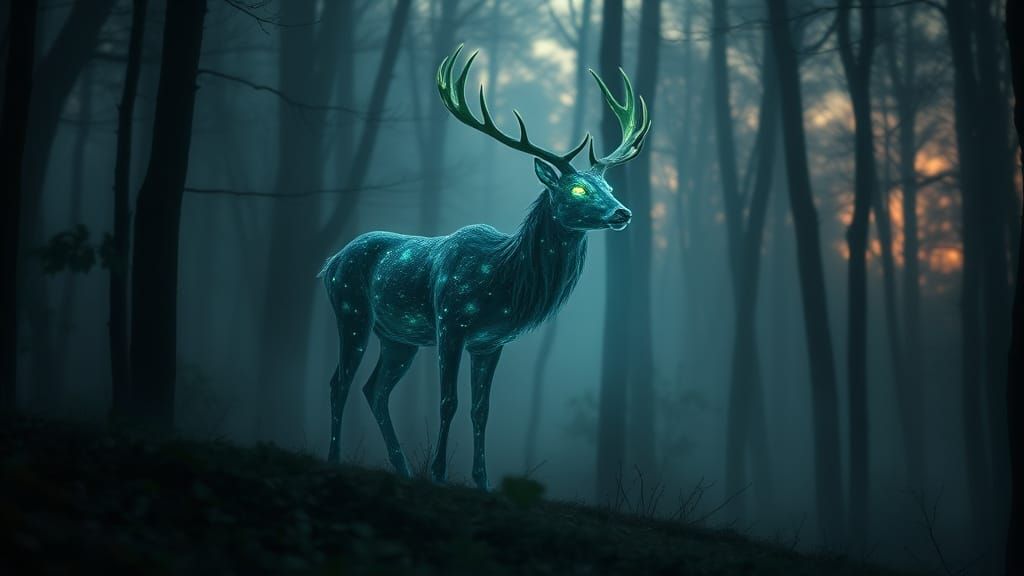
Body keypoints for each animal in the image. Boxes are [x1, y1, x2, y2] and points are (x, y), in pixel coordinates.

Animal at [319, 45, 650, 490]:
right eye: (578, 188)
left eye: (609, 186)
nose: (622, 212)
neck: (501, 282)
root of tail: (329, 263)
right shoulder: (450, 322)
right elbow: (448, 401)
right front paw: (439, 474)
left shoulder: (491, 342)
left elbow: (482, 410)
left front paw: (482, 481)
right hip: (351, 309)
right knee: (340, 382)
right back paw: (335, 457)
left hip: (398, 338)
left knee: (375, 390)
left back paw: (402, 468)